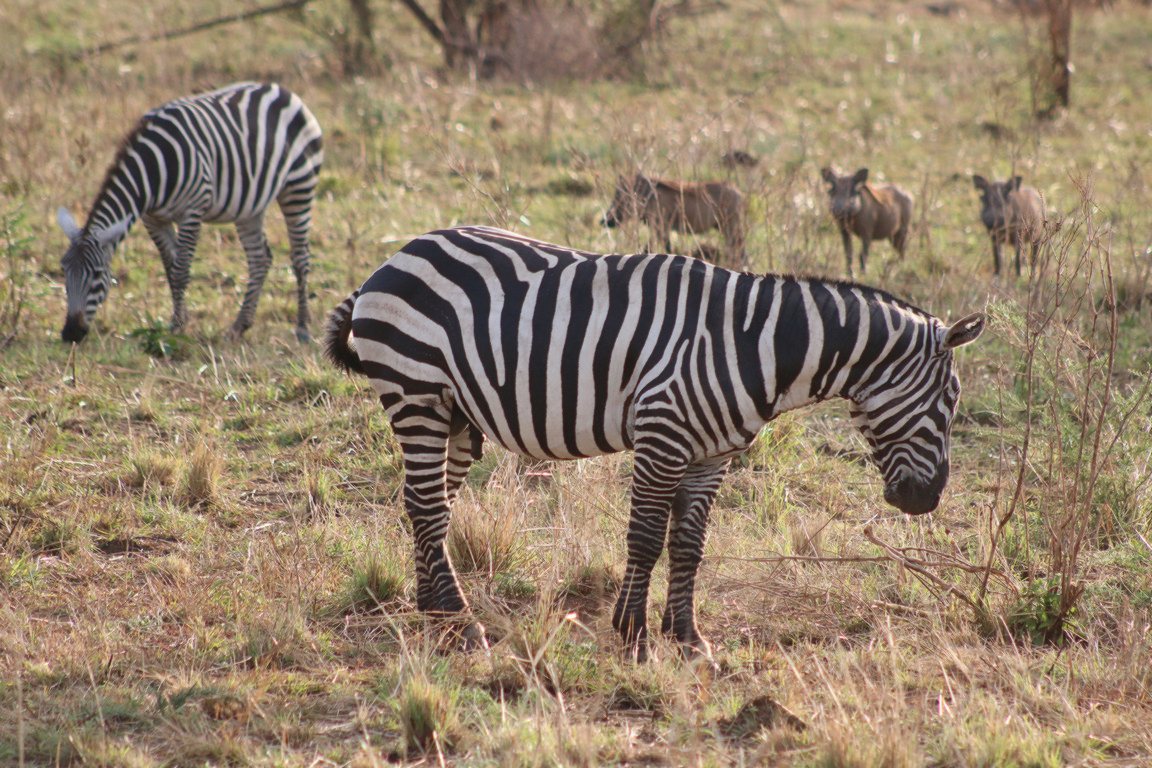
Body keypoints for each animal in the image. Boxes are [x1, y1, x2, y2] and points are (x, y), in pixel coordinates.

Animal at [55, 81, 324, 343]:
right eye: (64, 272)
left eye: (97, 276)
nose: (71, 334)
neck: (155, 170)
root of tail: (282, 90)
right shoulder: (153, 219)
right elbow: (170, 269)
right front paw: (180, 321)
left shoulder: (192, 213)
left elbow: (181, 271)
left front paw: (177, 328)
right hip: (250, 207)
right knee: (260, 259)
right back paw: (239, 327)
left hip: (299, 186)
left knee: (300, 258)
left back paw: (302, 328)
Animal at [322, 223, 981, 663]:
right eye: (949, 402)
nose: (927, 501)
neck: (760, 347)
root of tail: (398, 255)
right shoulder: (662, 434)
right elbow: (644, 537)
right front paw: (634, 634)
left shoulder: (713, 455)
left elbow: (688, 546)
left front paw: (688, 638)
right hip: (416, 395)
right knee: (427, 506)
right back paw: (459, 623)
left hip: (455, 415)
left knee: (426, 505)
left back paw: (432, 610)